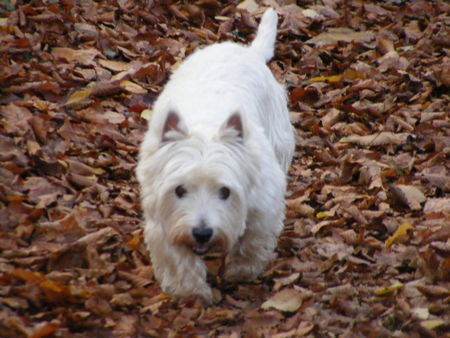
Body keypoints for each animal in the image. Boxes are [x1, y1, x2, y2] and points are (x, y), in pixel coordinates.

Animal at [135, 8, 294, 304]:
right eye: (180, 190)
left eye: (225, 192)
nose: (202, 233)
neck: (205, 127)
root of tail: (248, 51)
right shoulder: (163, 214)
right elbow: (176, 256)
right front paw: (191, 291)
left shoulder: (264, 201)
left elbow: (254, 237)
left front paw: (240, 271)